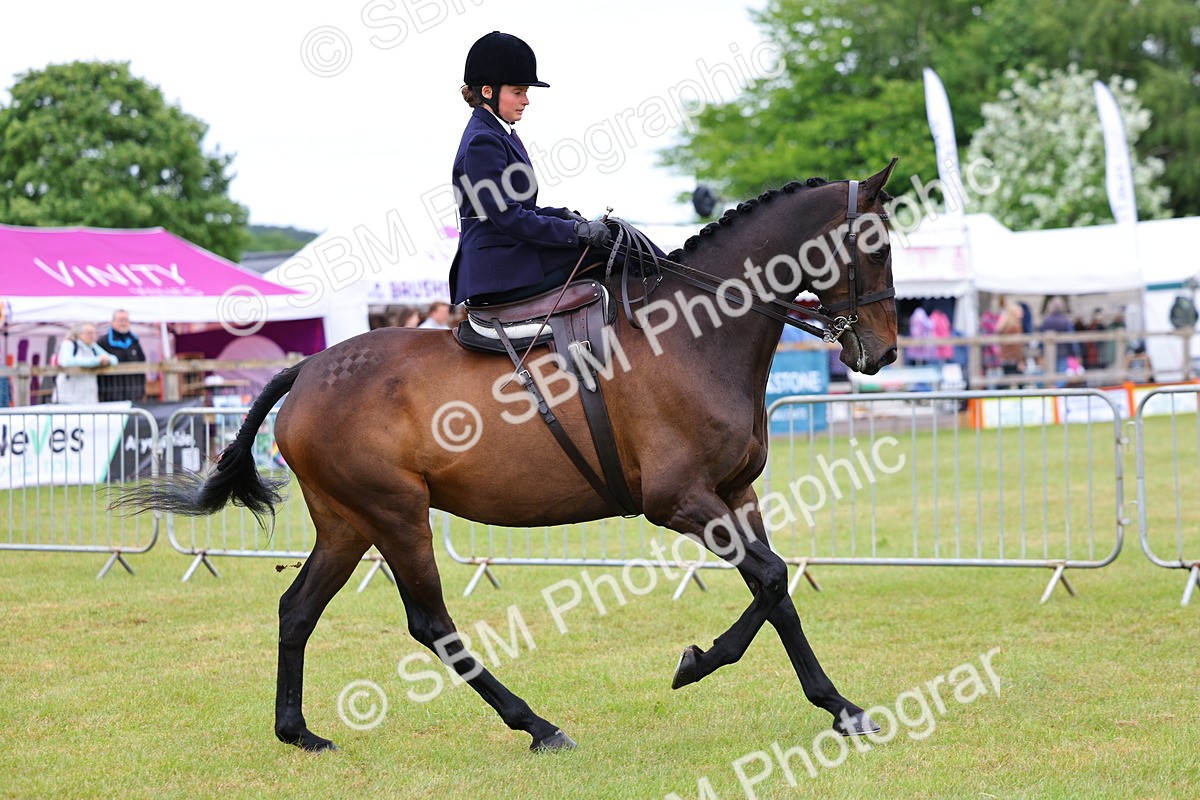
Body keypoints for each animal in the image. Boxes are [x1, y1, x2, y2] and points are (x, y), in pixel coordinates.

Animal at [121, 160, 900, 752]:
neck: (693, 335)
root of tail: (307, 370)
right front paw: (701, 665)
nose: (884, 352)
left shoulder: (737, 495)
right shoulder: (682, 501)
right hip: (395, 515)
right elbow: (770, 580)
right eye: (879, 246)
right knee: (430, 623)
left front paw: (835, 705)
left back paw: (298, 732)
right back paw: (537, 725)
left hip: (347, 521)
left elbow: (777, 593)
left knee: (297, 609)